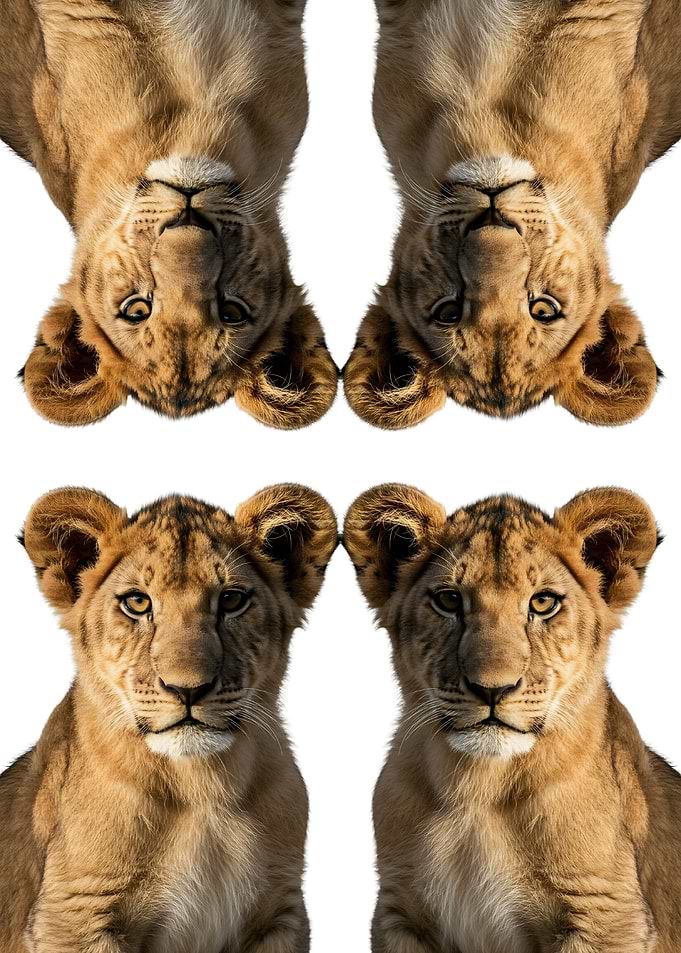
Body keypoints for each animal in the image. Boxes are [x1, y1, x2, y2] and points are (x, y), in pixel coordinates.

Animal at [0, 484, 338, 953]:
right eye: (137, 602)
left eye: (232, 600)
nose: (188, 689)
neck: (202, 788)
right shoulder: (72, 914)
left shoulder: (279, 911)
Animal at [344, 484, 681, 952]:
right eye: (449, 600)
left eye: (543, 602)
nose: (492, 689)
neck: (478, 788)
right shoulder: (400, 912)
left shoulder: (608, 914)